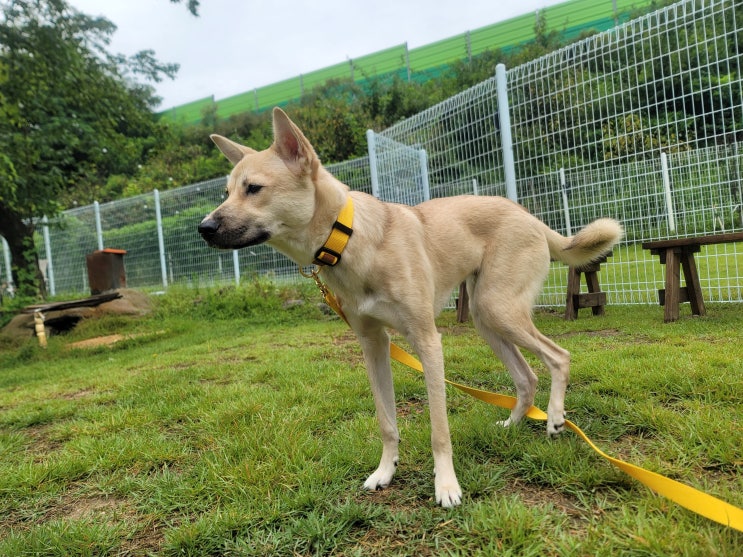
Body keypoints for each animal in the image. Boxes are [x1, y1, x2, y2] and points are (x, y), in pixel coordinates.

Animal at [198, 106, 620, 506]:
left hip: (499, 309)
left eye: (254, 188)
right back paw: (513, 424)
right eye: (226, 192)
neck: (349, 239)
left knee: (559, 356)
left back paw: (555, 418)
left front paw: (446, 486)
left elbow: (439, 430)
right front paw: (385, 471)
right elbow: (386, 422)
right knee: (526, 377)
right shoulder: (373, 345)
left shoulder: (427, 342)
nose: (204, 228)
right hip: (486, 318)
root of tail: (527, 215)